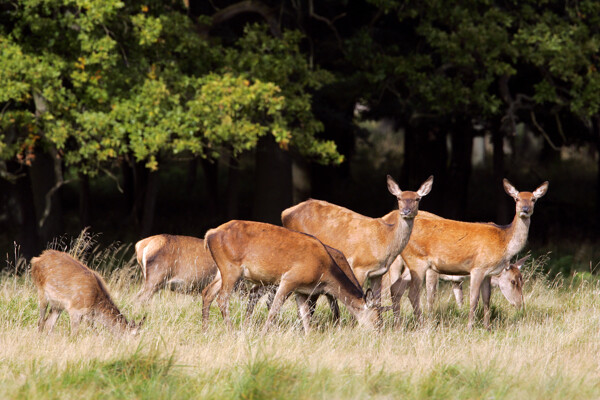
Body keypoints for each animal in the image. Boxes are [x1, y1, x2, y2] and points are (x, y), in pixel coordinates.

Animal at [202, 220, 380, 332]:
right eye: (377, 318)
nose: (379, 333)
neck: (324, 271)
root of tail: (209, 234)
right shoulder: (290, 279)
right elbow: (274, 309)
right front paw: (263, 334)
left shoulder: (302, 290)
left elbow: (305, 315)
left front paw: (309, 337)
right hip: (231, 267)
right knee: (222, 298)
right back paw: (231, 331)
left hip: (221, 270)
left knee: (207, 292)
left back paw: (206, 330)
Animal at [280, 175, 432, 312]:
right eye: (399, 198)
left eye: (417, 199)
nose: (406, 211)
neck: (385, 241)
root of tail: (285, 212)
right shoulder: (359, 266)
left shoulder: (378, 273)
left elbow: (377, 302)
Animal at [384, 180, 548, 330]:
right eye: (517, 199)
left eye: (533, 199)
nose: (520, 305)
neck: (503, 241)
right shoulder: (477, 268)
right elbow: (473, 299)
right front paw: (469, 327)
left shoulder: (487, 273)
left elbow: (486, 299)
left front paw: (487, 327)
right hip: (417, 261)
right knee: (411, 293)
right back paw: (422, 325)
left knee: (396, 288)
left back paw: (398, 325)